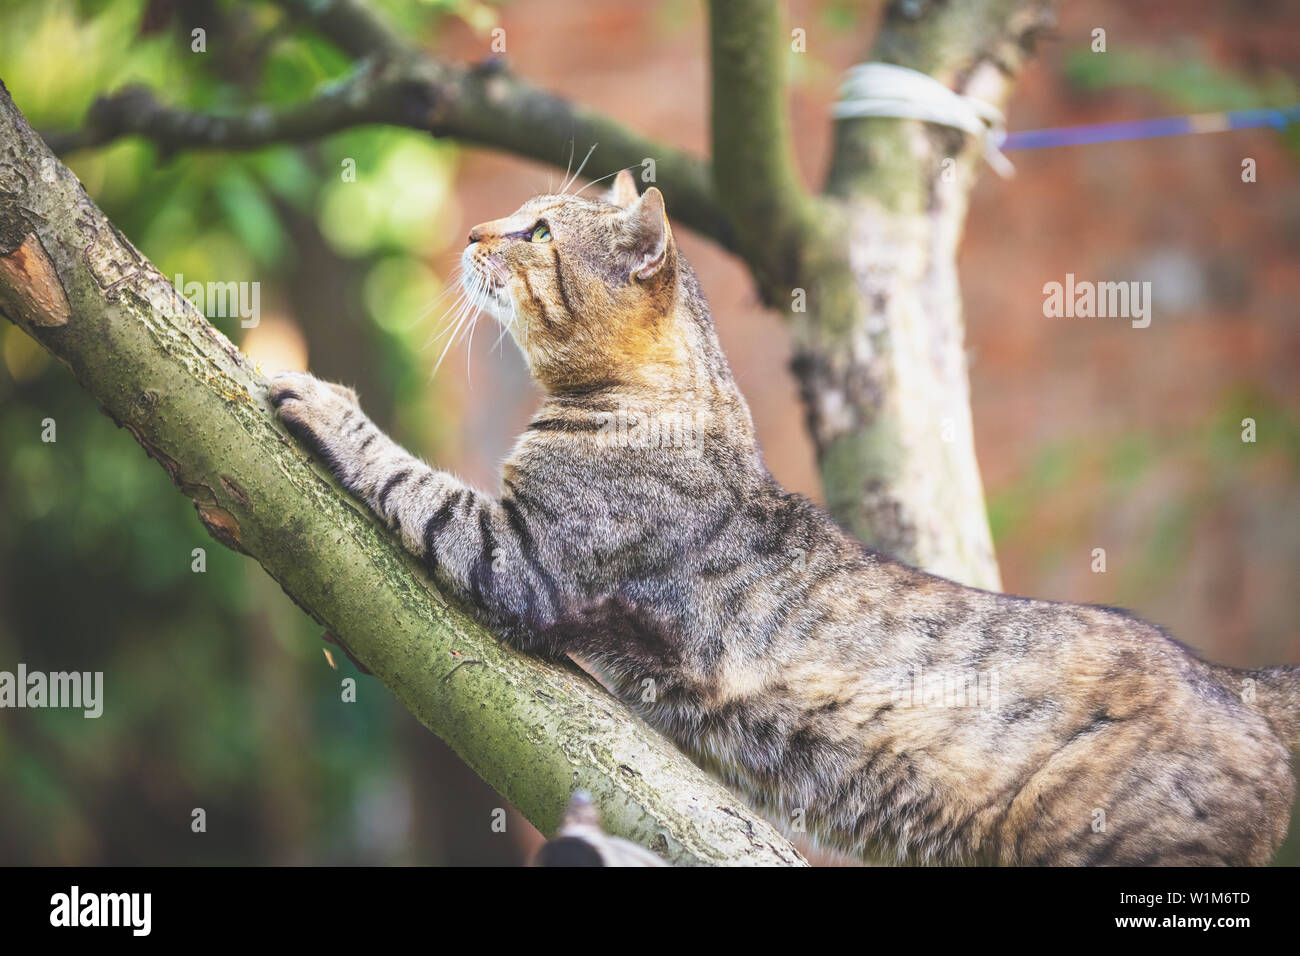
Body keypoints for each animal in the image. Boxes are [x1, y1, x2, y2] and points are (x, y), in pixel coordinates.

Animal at [269, 171, 1294, 868]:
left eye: (539, 229)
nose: (477, 232)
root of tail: (1232, 680)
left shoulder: (524, 555)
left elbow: (411, 478)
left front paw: (319, 398)